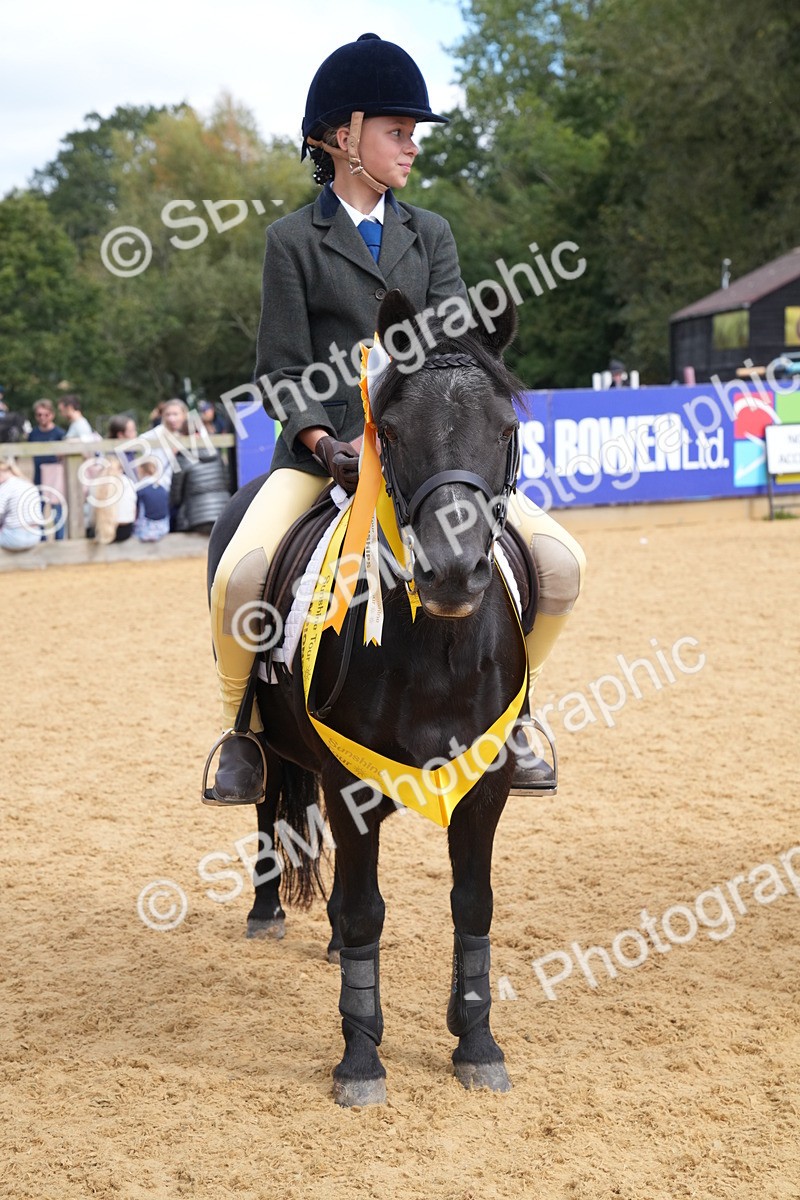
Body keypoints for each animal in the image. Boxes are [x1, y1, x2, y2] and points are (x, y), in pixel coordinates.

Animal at [207, 289, 532, 1106]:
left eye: (505, 429)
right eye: (391, 431)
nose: (453, 573)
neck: (437, 650)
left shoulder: (486, 782)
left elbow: (472, 904)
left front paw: (477, 1042)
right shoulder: (348, 781)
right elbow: (363, 910)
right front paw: (360, 1057)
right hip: (274, 738)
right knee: (268, 797)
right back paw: (266, 910)